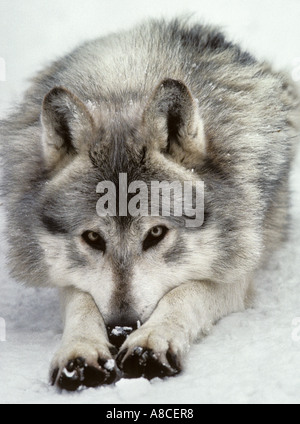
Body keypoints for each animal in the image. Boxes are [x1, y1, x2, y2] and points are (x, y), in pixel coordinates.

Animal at [0, 19, 298, 390]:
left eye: (156, 234)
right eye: (92, 238)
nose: (120, 329)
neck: (126, 87)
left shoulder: (238, 268)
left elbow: (185, 294)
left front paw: (152, 343)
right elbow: (82, 301)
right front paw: (80, 352)